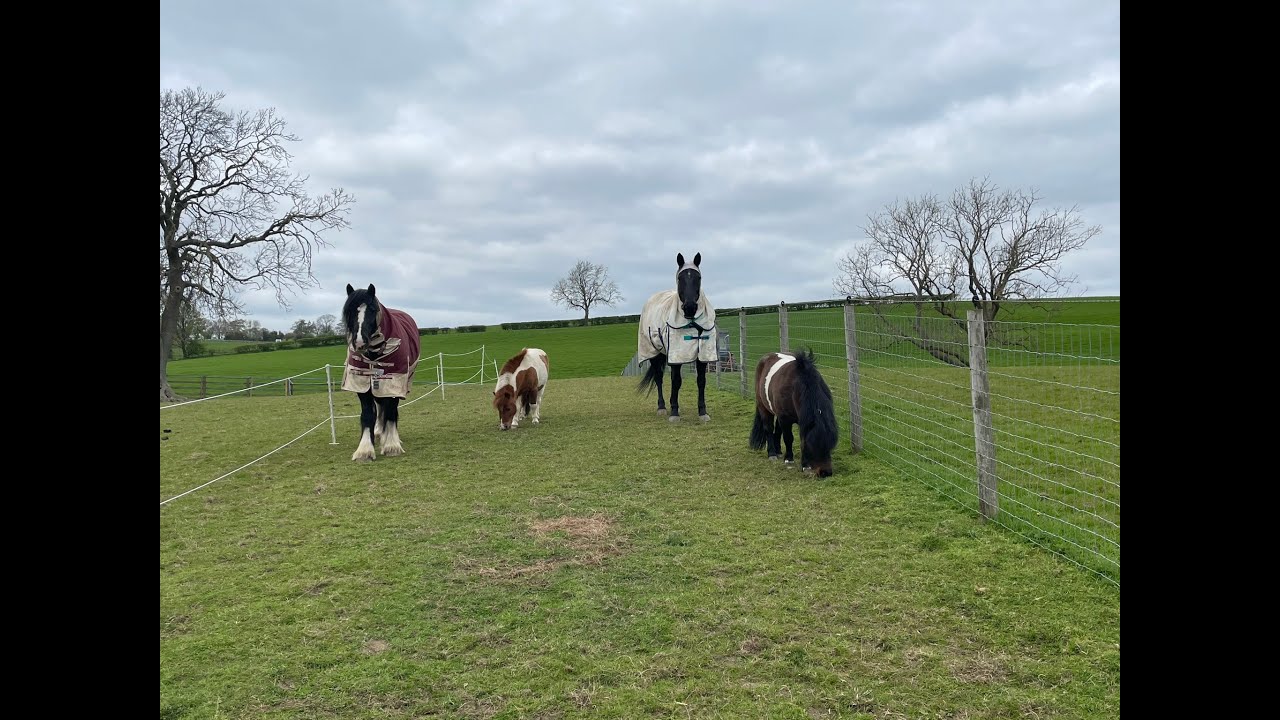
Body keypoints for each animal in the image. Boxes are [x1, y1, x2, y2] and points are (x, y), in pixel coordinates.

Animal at [340, 283, 421, 462]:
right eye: (350, 311)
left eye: (372, 309)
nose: (359, 343)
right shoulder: (362, 384)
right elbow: (368, 414)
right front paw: (364, 450)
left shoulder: (393, 382)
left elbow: (390, 411)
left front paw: (391, 446)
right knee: (379, 406)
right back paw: (378, 432)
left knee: (391, 410)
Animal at [636, 252, 717, 422]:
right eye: (680, 278)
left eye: (698, 277)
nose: (690, 307)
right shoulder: (676, 356)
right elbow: (676, 381)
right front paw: (674, 412)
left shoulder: (702, 355)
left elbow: (701, 381)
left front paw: (703, 412)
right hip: (655, 353)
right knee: (659, 378)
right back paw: (662, 407)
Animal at [748, 349, 839, 477]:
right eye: (812, 445)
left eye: (831, 444)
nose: (825, 472)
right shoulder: (785, 418)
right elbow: (788, 438)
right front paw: (789, 458)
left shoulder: (802, 421)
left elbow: (801, 439)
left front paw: (805, 465)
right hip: (763, 407)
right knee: (769, 429)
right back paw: (772, 453)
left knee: (777, 430)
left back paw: (778, 451)